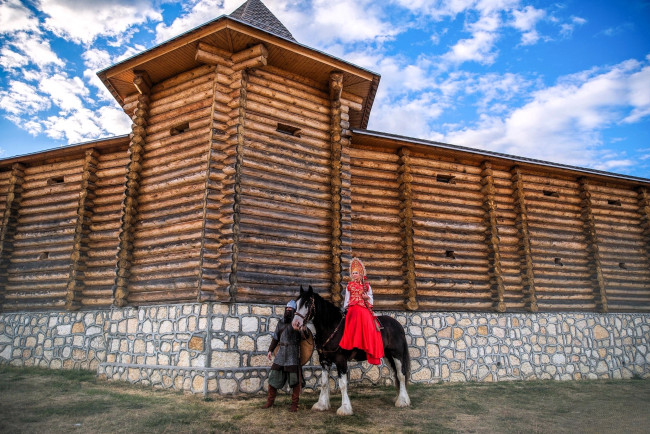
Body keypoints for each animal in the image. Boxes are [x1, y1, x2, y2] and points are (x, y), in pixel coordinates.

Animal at [292, 285, 411, 416]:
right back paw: (399, 398)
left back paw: (402, 401)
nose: (295, 324)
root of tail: (398, 325)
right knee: (395, 374)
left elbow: (343, 384)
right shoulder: (324, 360)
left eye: (307, 303)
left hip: (397, 354)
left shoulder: (341, 360)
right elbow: (324, 383)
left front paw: (345, 408)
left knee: (401, 374)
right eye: (296, 303)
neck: (332, 328)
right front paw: (321, 405)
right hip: (388, 356)